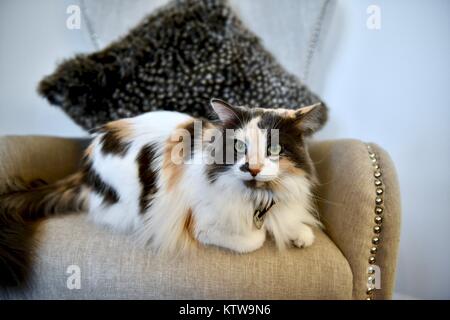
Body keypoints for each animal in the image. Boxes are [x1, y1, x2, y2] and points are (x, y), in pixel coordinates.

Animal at [0, 99, 326, 286]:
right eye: (238, 147)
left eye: (274, 149)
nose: (253, 169)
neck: (259, 196)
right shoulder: (200, 225)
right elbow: (254, 239)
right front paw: (265, 233)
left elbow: (294, 226)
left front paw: (298, 234)